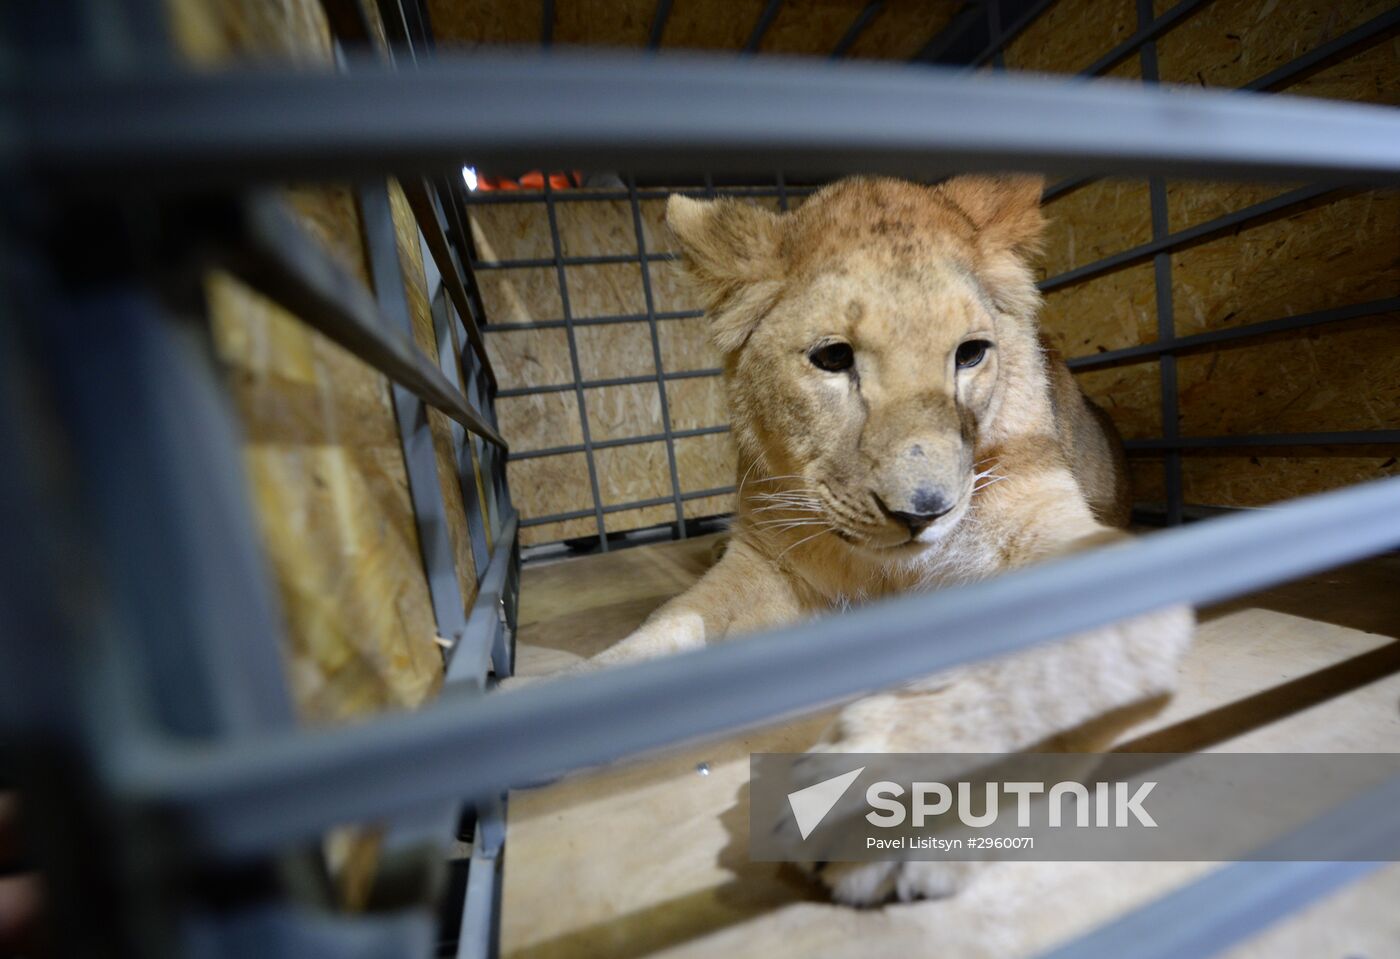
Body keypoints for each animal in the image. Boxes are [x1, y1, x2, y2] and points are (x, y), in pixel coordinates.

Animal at [576, 175, 1194, 904]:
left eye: (970, 352)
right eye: (832, 358)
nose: (923, 510)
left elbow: (1046, 669)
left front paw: (885, 810)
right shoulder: (770, 559)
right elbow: (676, 619)